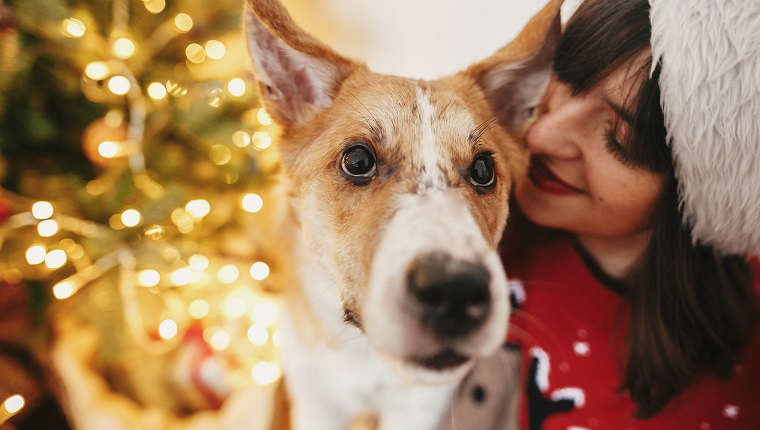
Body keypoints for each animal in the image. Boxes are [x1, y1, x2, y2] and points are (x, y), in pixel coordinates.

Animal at [245, 1, 564, 428]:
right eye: (357, 161)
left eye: (483, 169)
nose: (455, 290)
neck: (366, 355)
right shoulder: (316, 400)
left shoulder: (418, 406)